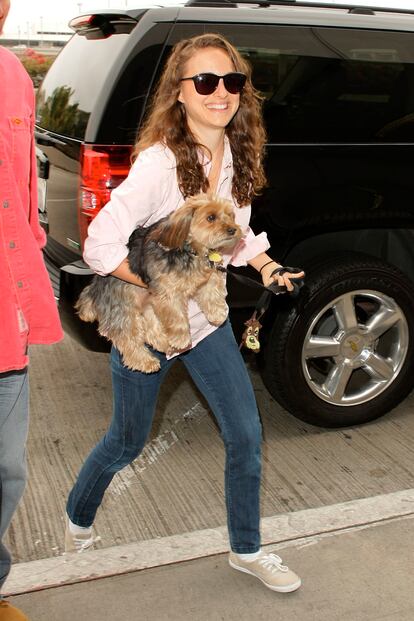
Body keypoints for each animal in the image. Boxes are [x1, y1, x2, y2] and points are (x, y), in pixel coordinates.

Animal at [77, 191, 243, 370]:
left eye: (230, 215)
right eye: (211, 217)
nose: (233, 229)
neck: (191, 248)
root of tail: (95, 287)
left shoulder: (207, 275)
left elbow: (212, 290)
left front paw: (217, 313)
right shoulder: (168, 291)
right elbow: (177, 316)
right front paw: (181, 337)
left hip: (147, 305)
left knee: (150, 329)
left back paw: (164, 344)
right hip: (123, 309)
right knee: (128, 338)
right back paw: (146, 361)